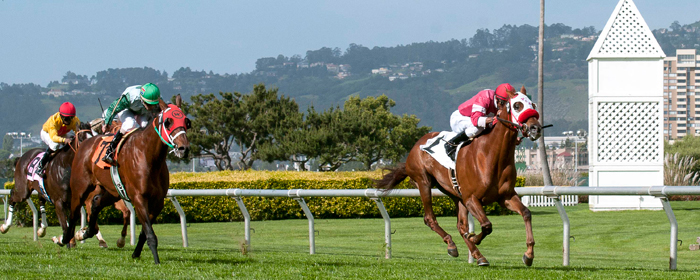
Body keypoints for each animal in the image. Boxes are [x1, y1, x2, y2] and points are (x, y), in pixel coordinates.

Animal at [64, 96, 190, 264]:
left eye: (187, 122)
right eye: (168, 122)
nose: (184, 148)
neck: (149, 155)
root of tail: (84, 144)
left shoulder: (158, 201)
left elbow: (145, 231)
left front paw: (136, 253)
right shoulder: (139, 197)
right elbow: (150, 233)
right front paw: (156, 261)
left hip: (113, 190)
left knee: (96, 202)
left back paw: (86, 232)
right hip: (80, 188)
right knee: (73, 212)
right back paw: (66, 238)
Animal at [378, 86, 540, 266]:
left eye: (533, 104)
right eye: (517, 105)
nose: (535, 128)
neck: (492, 155)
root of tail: (415, 147)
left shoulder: (505, 196)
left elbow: (526, 213)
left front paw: (529, 254)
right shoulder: (471, 198)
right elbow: (486, 225)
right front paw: (474, 238)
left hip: (455, 194)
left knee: (461, 226)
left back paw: (478, 255)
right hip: (423, 182)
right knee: (430, 218)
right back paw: (452, 245)